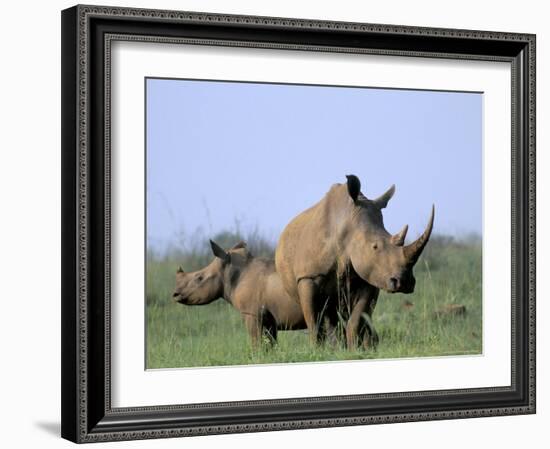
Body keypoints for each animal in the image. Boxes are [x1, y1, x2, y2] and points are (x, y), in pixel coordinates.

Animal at [172, 240, 338, 344]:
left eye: (199, 278)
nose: (175, 294)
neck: (230, 273)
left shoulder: (251, 314)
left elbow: (256, 343)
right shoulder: (268, 319)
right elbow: (269, 344)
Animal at [276, 174, 436, 346]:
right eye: (375, 247)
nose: (404, 282)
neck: (347, 225)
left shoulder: (370, 276)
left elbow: (357, 318)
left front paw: (354, 348)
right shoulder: (308, 276)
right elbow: (314, 322)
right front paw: (318, 348)